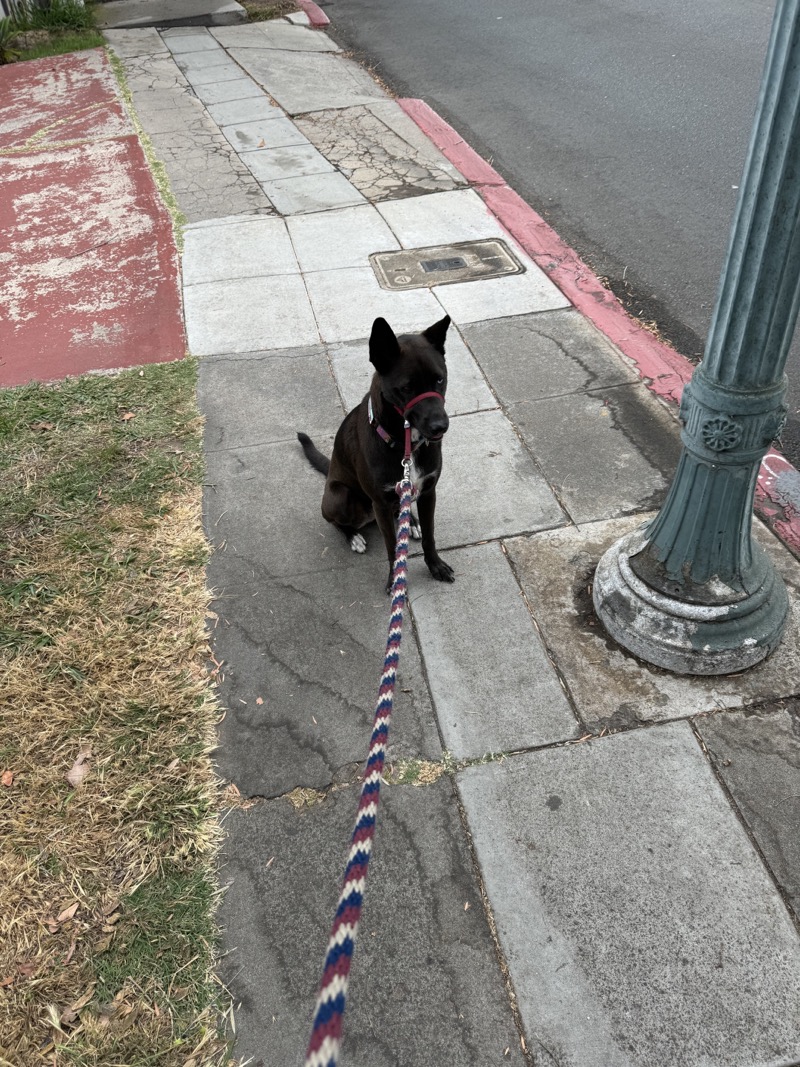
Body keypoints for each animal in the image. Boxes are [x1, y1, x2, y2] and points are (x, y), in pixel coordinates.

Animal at [298, 311, 454, 593]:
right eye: (407, 387)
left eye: (439, 379)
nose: (441, 426)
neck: (406, 445)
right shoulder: (380, 503)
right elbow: (393, 548)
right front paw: (395, 580)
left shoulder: (429, 492)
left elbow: (430, 535)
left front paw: (435, 565)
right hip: (340, 497)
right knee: (337, 521)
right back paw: (354, 537)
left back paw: (411, 523)